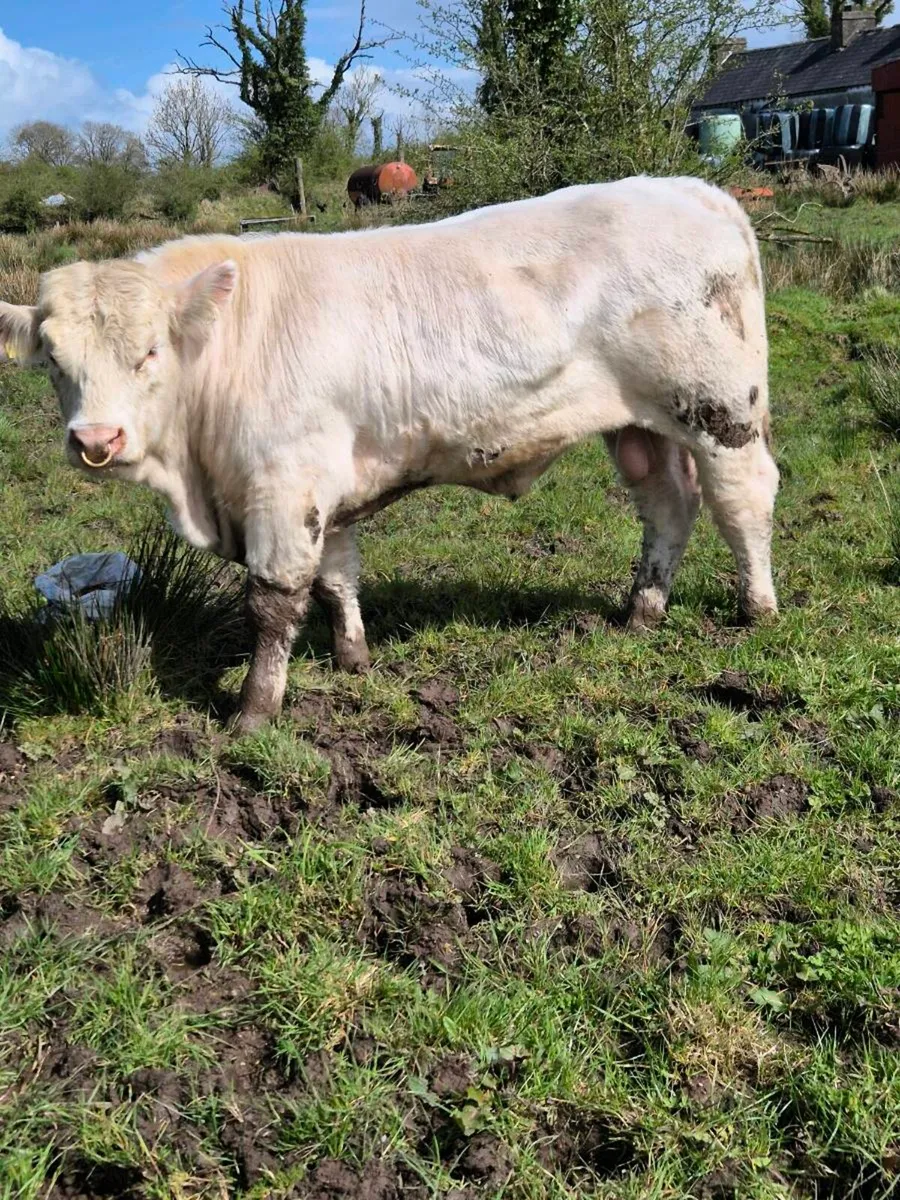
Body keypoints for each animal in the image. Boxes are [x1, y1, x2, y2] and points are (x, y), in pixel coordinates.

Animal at [0, 176, 778, 734]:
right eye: (54, 360)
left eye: (150, 351)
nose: (96, 441)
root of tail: (695, 190)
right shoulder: (325, 487)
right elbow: (337, 578)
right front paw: (354, 659)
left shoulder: (283, 484)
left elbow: (273, 603)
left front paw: (253, 712)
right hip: (641, 425)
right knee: (668, 506)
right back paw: (642, 611)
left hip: (721, 411)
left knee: (742, 502)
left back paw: (757, 609)